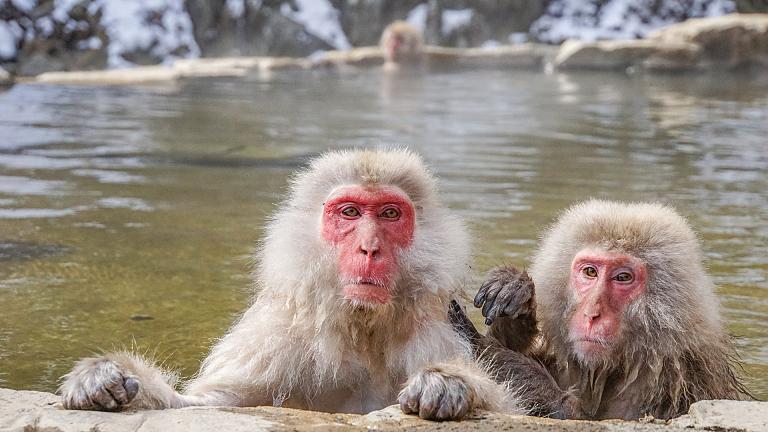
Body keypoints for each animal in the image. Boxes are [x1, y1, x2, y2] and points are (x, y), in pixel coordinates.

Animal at [59, 148, 519, 421]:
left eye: (390, 214)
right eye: (350, 212)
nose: (370, 248)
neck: (362, 327)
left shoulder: (437, 333)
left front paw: (448, 383)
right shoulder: (276, 339)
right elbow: (210, 404)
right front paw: (104, 378)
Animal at [453, 199, 748, 420]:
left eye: (623, 278)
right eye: (590, 272)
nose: (592, 314)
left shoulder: (674, 384)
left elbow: (570, 414)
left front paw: (490, 352)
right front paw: (514, 292)